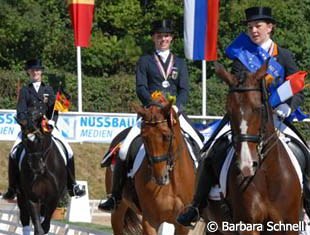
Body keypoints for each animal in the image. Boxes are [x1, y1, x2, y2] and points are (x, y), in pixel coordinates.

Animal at [104, 101, 201, 235]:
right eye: (144, 137)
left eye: (167, 136)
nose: (159, 177)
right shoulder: (150, 220)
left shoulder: (182, 225)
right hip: (118, 210)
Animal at [205, 61, 302, 234]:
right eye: (229, 111)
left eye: (258, 108)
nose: (247, 165)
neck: (268, 176)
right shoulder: (247, 224)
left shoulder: (289, 225)